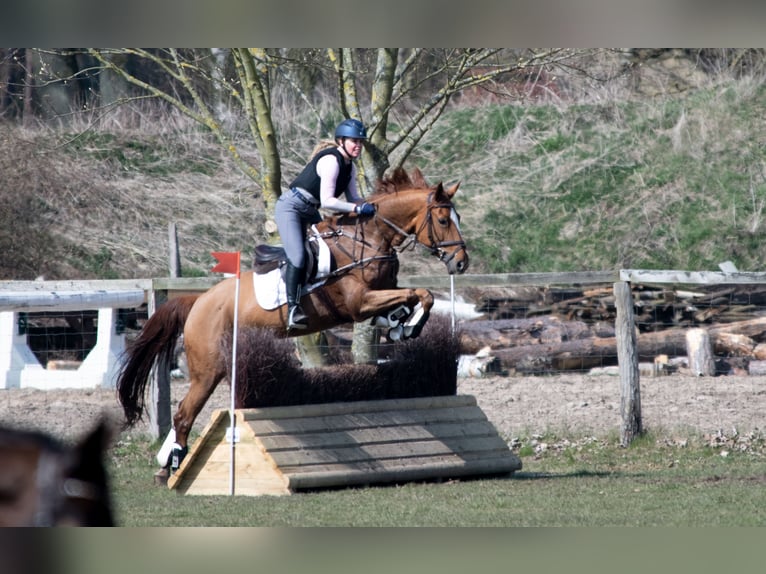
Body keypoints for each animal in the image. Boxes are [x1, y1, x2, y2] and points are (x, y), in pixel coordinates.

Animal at [117, 166, 472, 472]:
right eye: (443, 220)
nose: (461, 263)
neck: (370, 238)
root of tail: (199, 301)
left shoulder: (380, 295)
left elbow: (418, 296)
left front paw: (403, 327)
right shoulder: (358, 304)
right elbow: (417, 293)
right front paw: (409, 326)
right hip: (208, 369)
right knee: (183, 414)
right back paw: (173, 465)